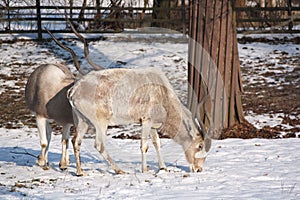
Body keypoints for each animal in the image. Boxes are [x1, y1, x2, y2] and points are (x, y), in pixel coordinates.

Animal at [68, 67, 207, 175]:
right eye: (200, 145)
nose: (198, 169)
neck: (164, 95)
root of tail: (73, 91)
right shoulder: (146, 120)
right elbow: (144, 145)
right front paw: (144, 170)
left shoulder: (153, 124)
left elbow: (157, 143)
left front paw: (163, 167)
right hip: (100, 122)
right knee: (99, 144)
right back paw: (119, 170)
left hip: (82, 121)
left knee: (76, 141)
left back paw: (80, 172)